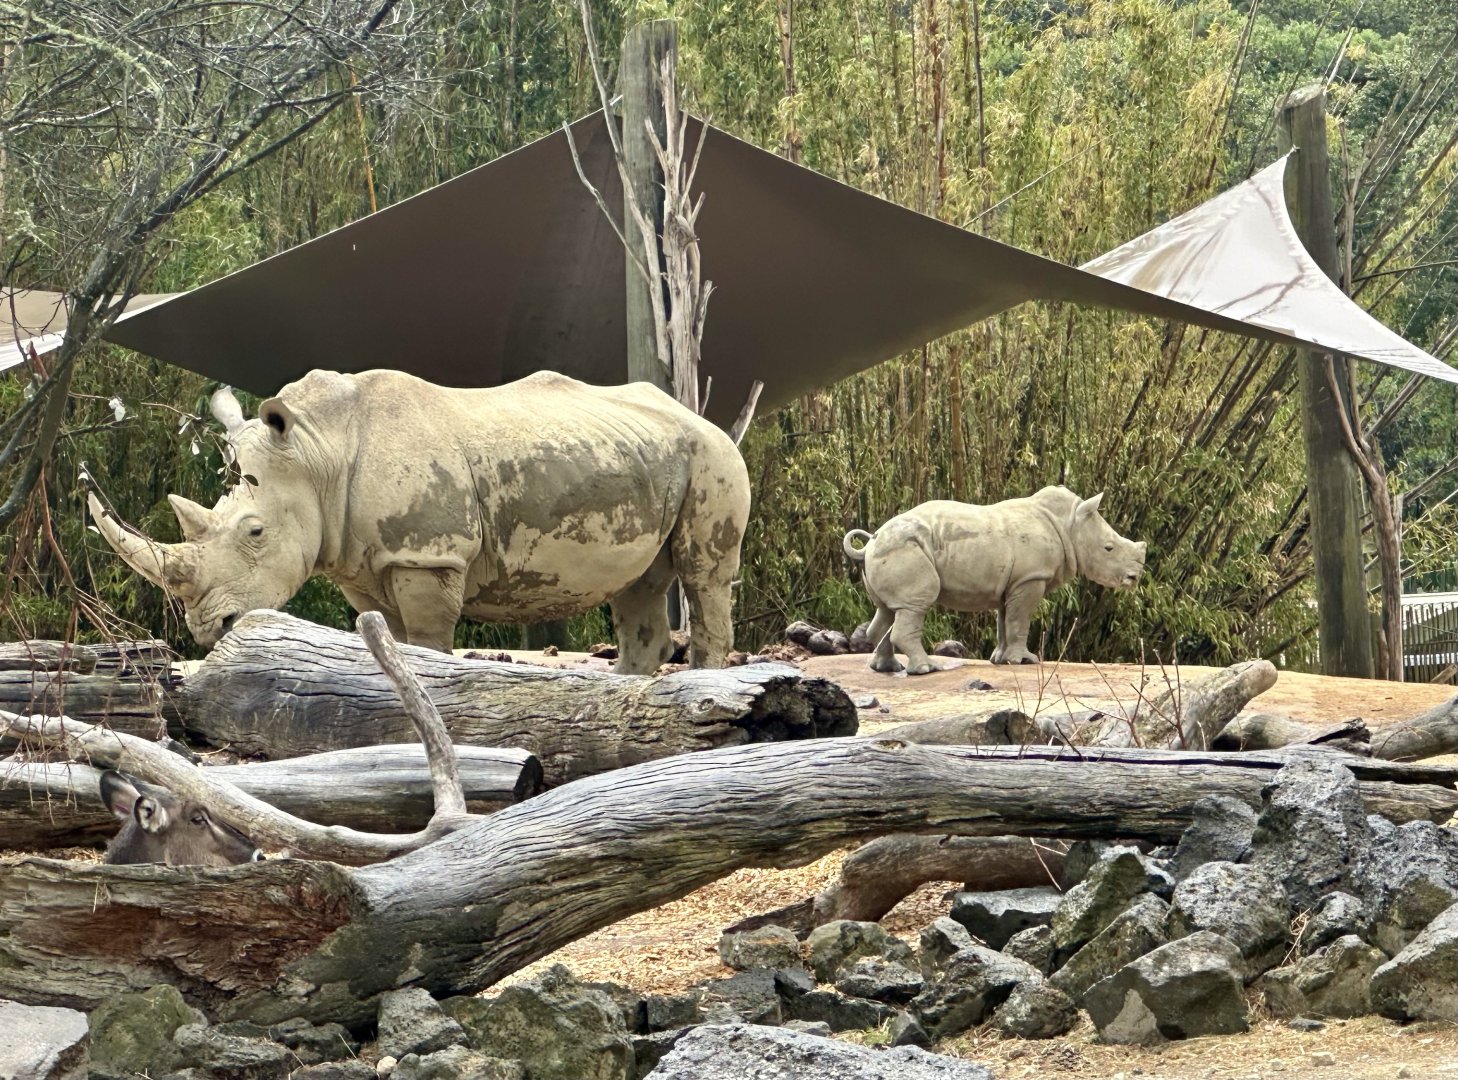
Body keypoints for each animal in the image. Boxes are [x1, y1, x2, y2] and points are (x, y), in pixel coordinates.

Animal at [89, 369, 752, 674]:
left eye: (254, 533)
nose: (210, 629)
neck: (317, 451)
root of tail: (696, 416)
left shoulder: (428, 553)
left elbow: (429, 643)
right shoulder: (362, 564)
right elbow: (390, 641)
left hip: (712, 456)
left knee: (704, 573)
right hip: (641, 456)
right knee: (639, 586)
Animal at [842, 486, 1146, 674]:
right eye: (1109, 548)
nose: (1134, 577)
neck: (1069, 524)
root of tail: (870, 542)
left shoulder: (1013, 582)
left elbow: (1005, 621)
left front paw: (1001, 660)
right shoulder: (1030, 578)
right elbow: (1020, 621)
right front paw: (1024, 661)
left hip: (893, 549)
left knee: (887, 609)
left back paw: (888, 668)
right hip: (905, 549)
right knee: (915, 605)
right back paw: (926, 669)